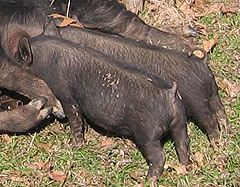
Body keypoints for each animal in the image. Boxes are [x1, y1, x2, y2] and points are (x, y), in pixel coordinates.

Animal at [13, 35, 190, 180]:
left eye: (18, 62)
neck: (44, 62)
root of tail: (170, 94)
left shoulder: (66, 96)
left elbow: (75, 120)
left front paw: (73, 146)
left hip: (147, 132)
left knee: (159, 156)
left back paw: (149, 180)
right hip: (180, 123)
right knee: (183, 143)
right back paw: (185, 167)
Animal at [57, 26, 228, 140]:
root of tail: (202, 63)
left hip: (196, 101)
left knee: (209, 119)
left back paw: (215, 141)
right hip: (214, 93)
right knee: (221, 112)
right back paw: (227, 133)